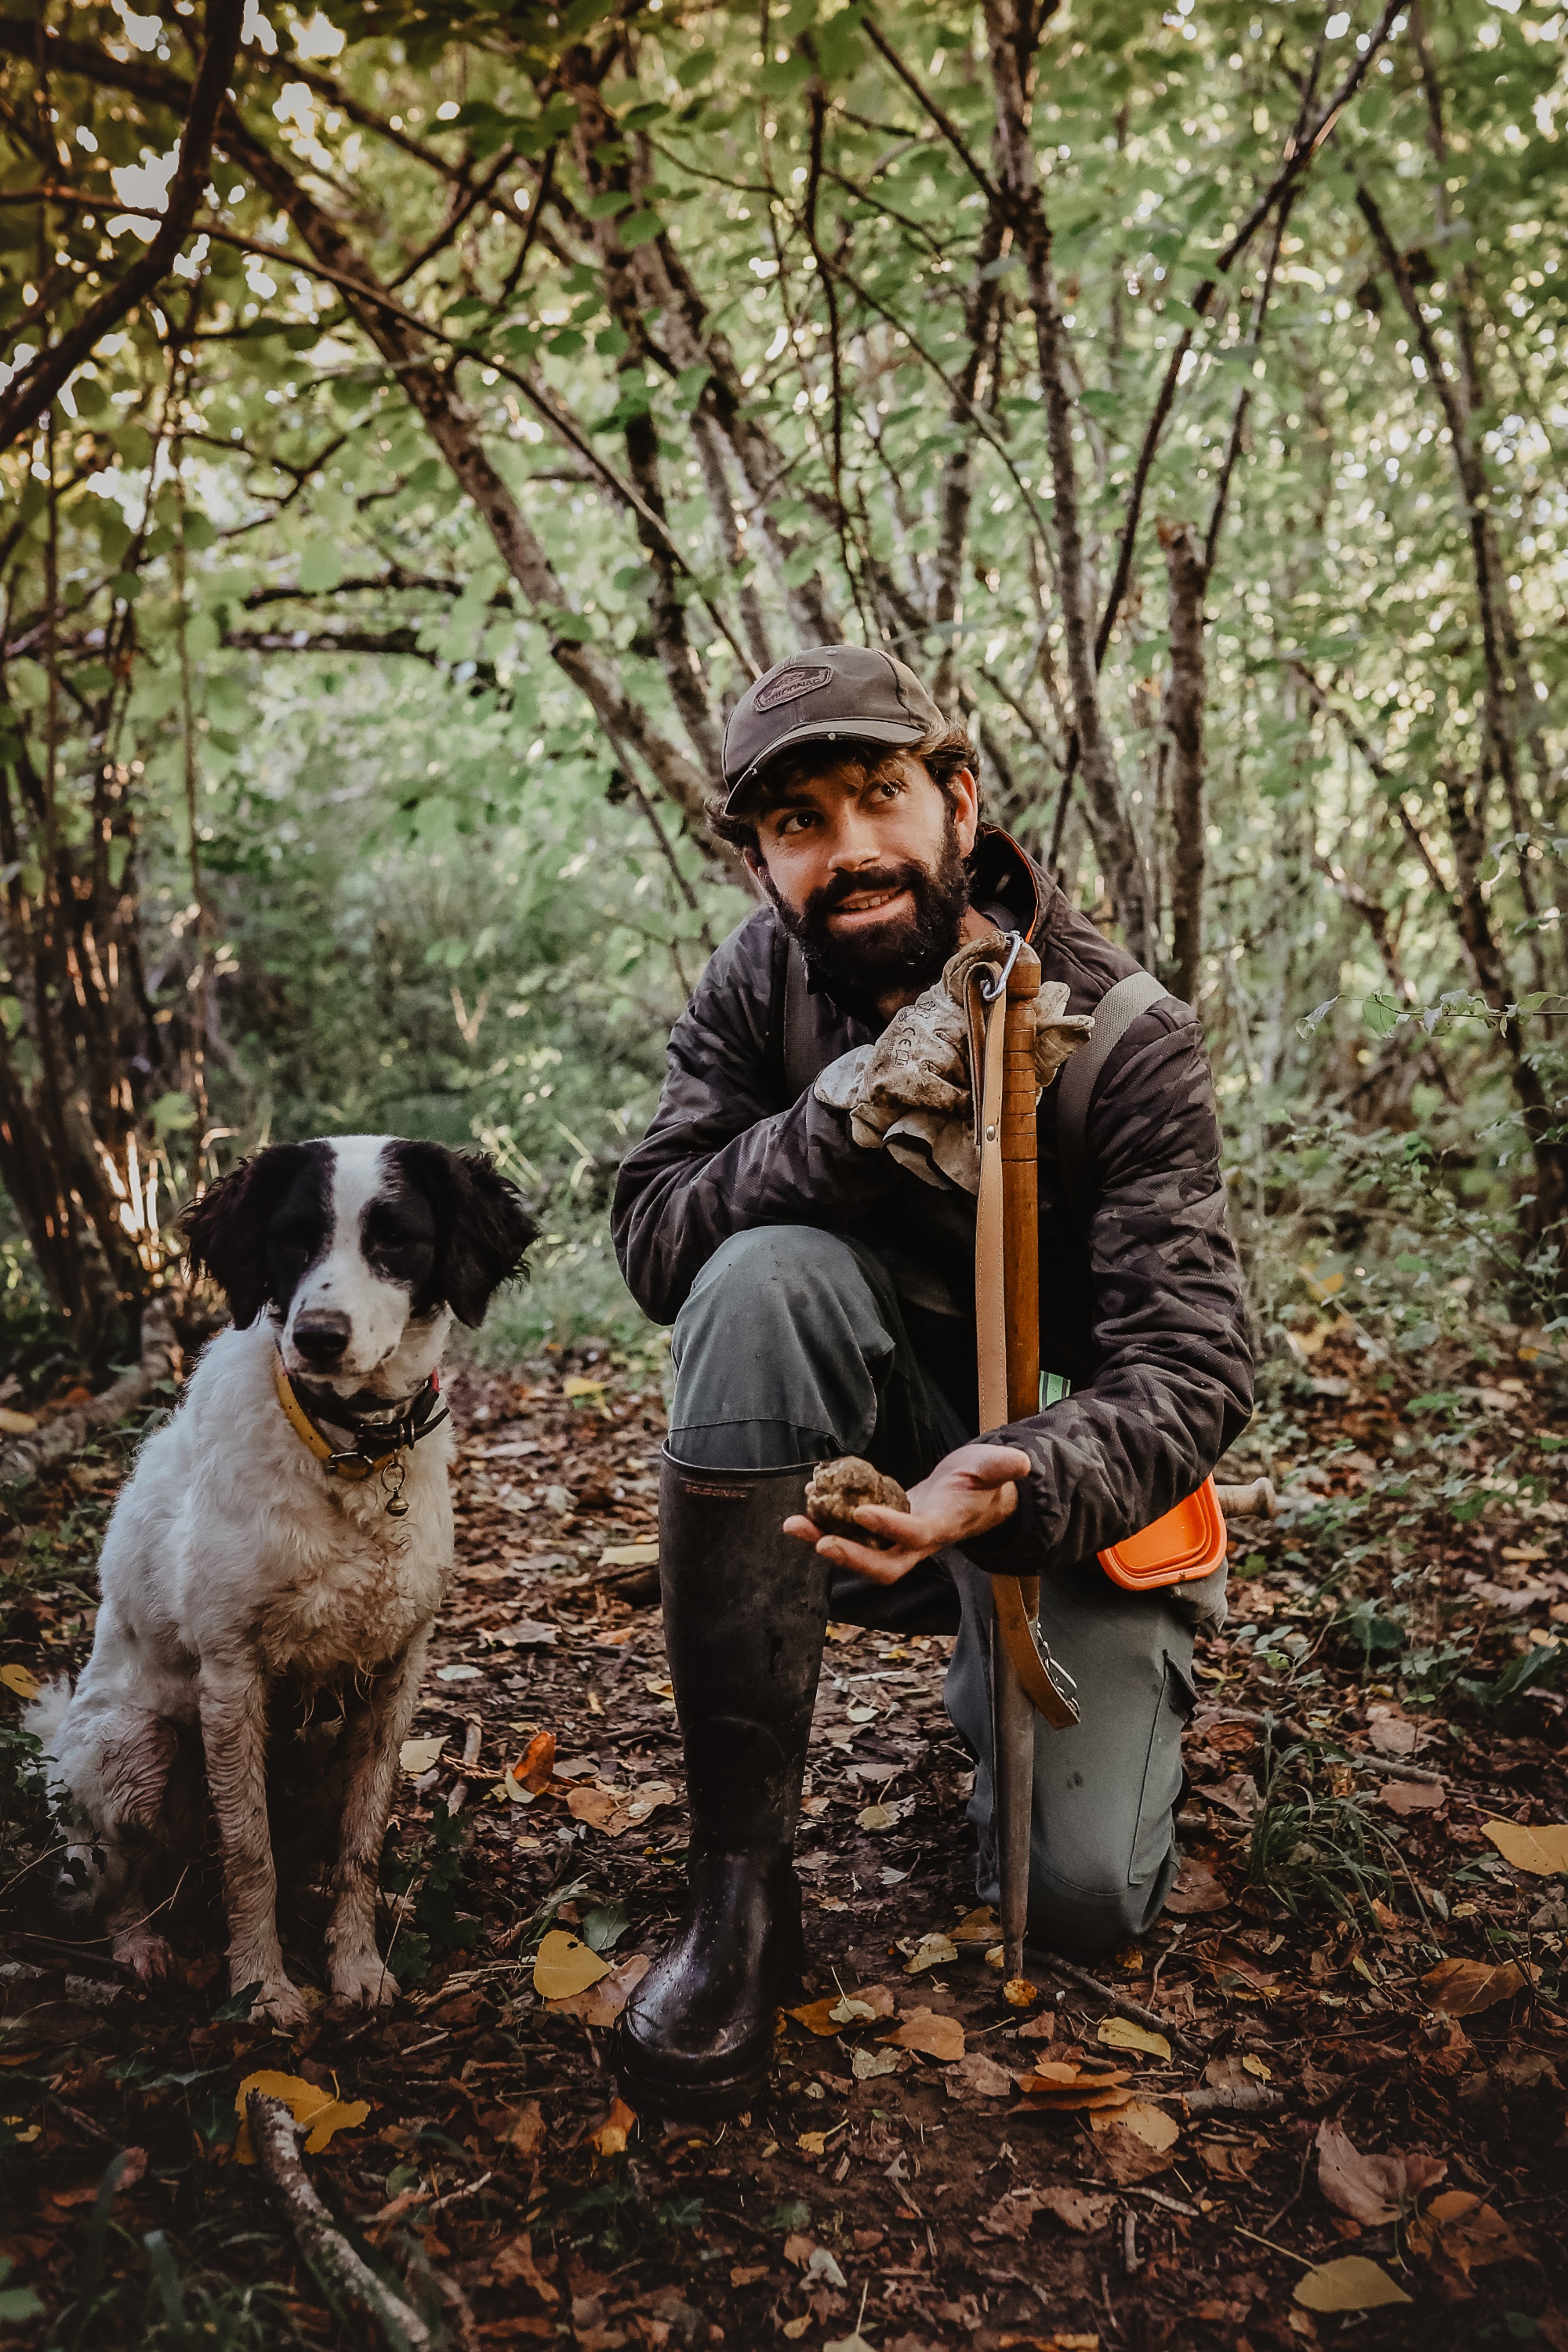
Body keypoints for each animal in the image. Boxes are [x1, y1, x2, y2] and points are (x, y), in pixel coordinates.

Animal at [27, 1134, 533, 2023]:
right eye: (292, 1240)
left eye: (394, 1239)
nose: (320, 1336)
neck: (350, 1451)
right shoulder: (233, 1676)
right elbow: (247, 1855)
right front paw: (262, 1985)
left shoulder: (396, 1674)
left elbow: (361, 1844)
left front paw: (356, 1963)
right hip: (134, 1748)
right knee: (112, 1881)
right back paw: (142, 1947)